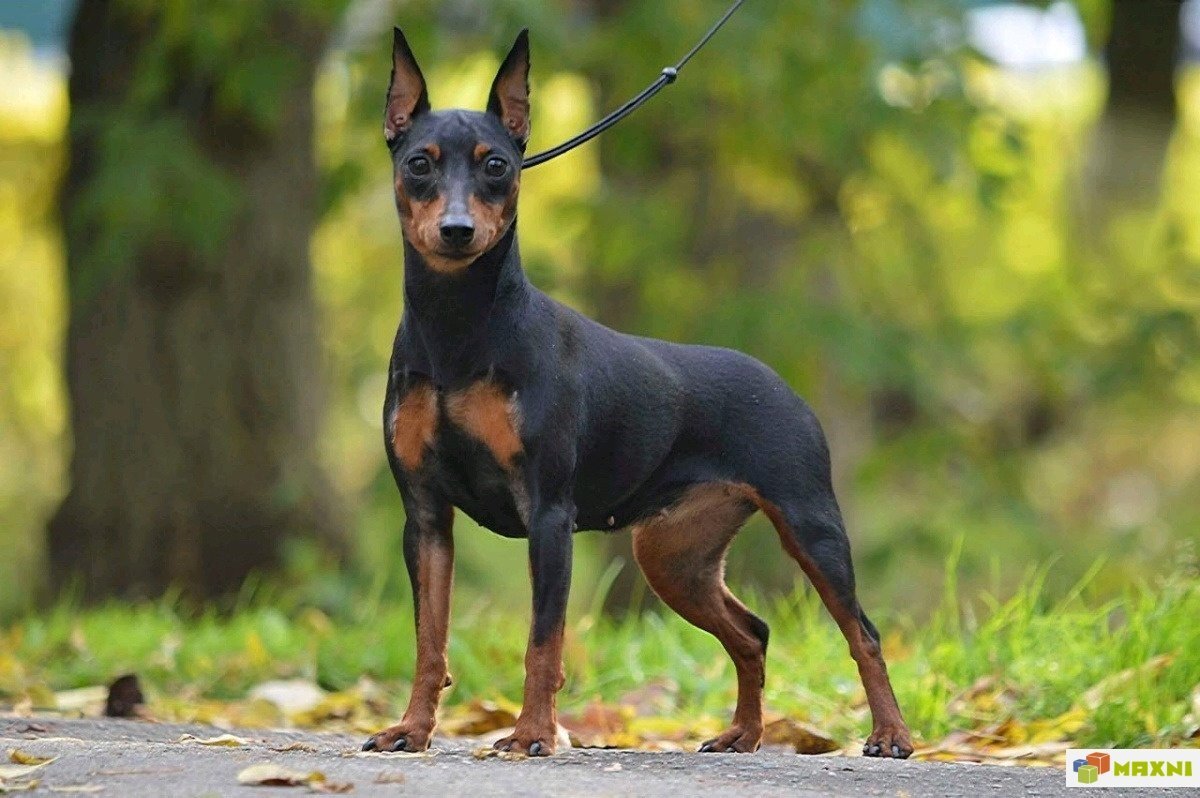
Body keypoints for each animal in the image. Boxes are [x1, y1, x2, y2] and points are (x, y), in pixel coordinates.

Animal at [360, 26, 912, 758]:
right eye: (419, 164)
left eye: (496, 165)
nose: (456, 231)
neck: (459, 329)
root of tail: (779, 380)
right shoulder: (424, 515)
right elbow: (430, 640)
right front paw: (413, 730)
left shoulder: (549, 515)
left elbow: (543, 642)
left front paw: (533, 735)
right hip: (673, 555)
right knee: (753, 633)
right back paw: (743, 734)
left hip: (809, 526)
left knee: (864, 634)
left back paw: (891, 734)